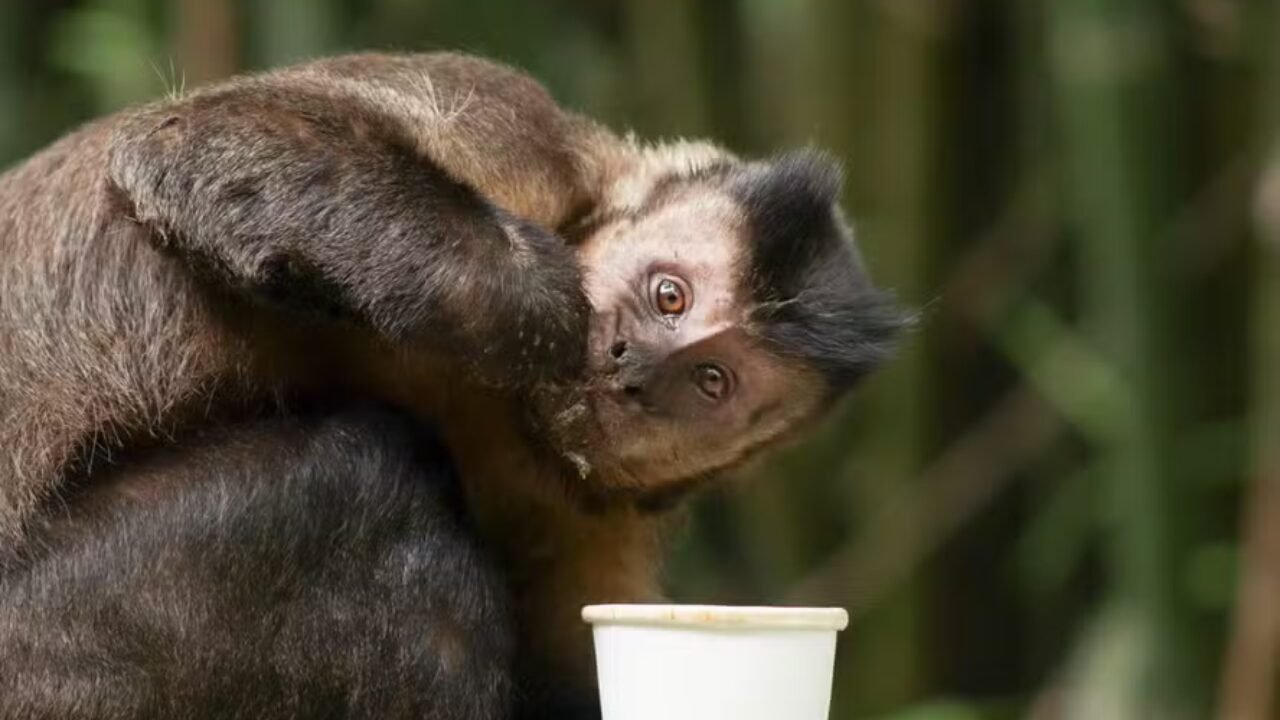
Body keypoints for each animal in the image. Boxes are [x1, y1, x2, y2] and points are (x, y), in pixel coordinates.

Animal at [0, 52, 905, 713]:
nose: (634, 366)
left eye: (711, 380)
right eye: (669, 297)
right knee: (361, 482)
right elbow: (198, 142)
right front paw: (545, 309)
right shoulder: (525, 135)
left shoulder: (595, 516)